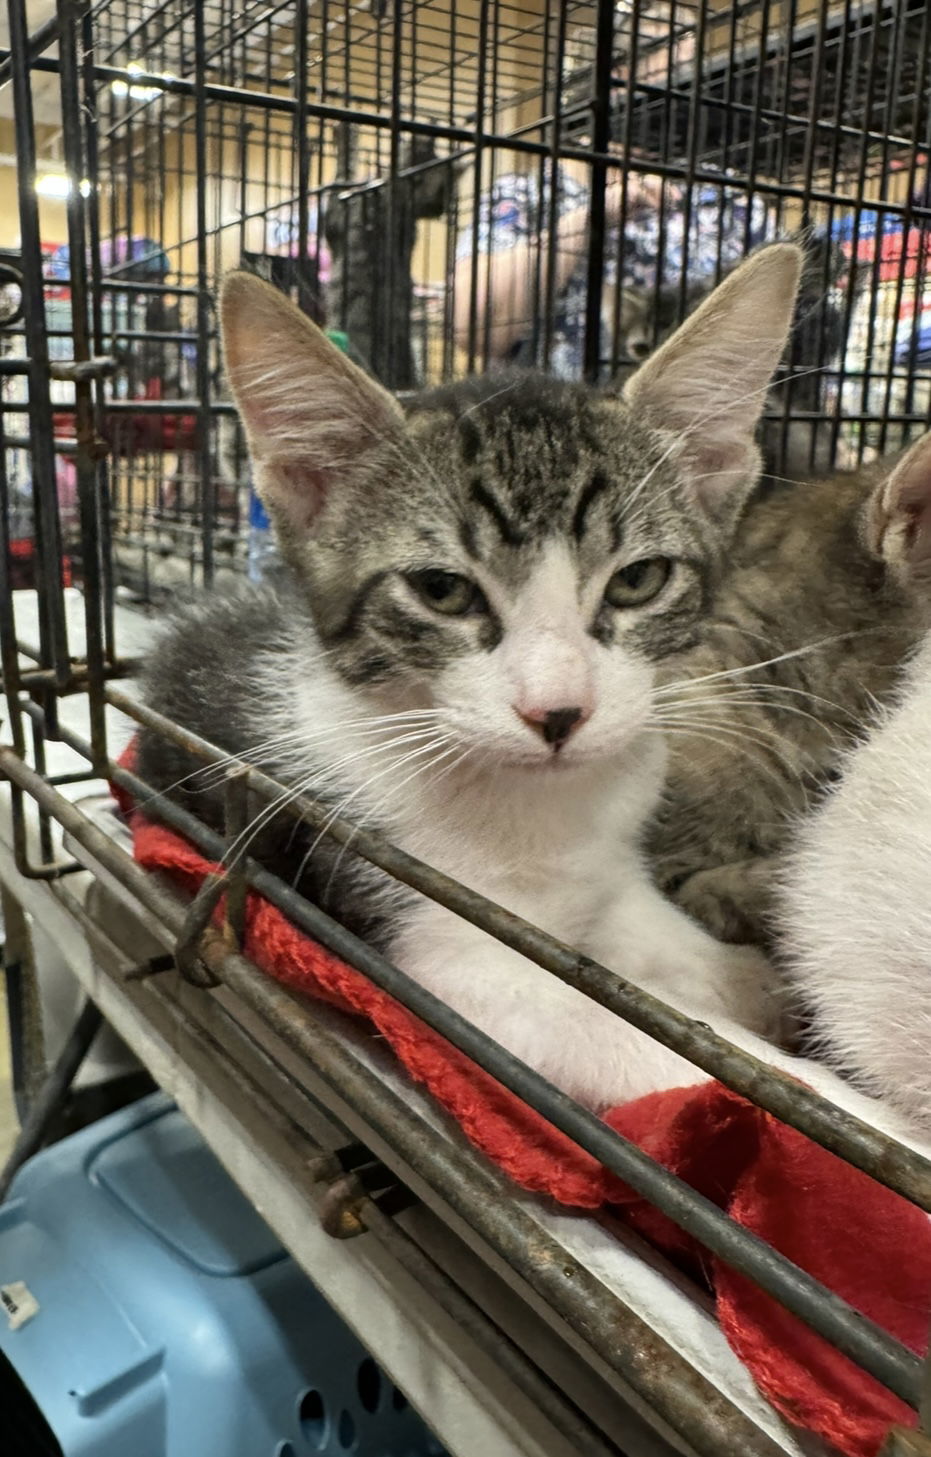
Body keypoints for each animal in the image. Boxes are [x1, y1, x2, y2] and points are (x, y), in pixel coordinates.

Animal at [136, 244, 804, 1107]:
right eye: (441, 589)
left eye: (638, 579)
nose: (559, 712)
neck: (537, 808)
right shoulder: (451, 969)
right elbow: (654, 1049)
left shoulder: (611, 873)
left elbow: (667, 964)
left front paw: (752, 981)